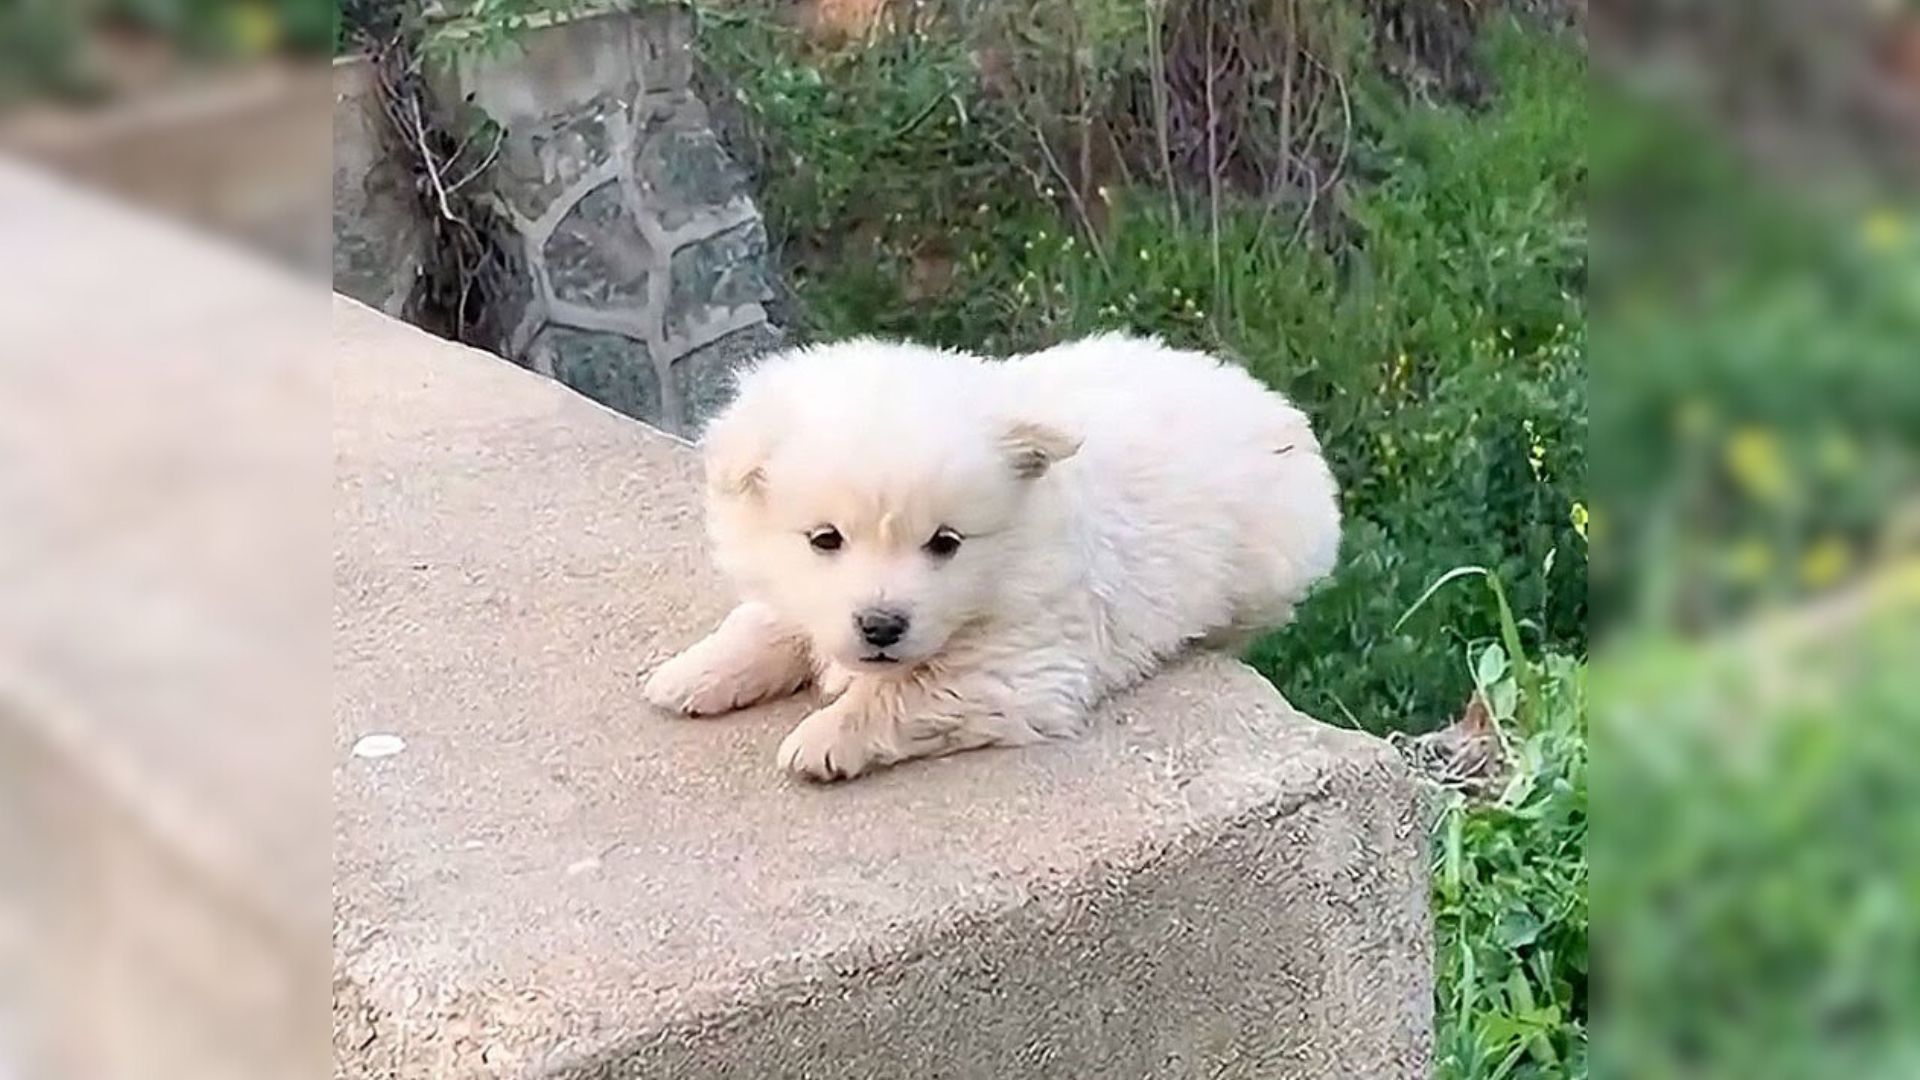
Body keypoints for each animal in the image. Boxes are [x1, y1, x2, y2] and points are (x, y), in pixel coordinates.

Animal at [645, 332, 1336, 776]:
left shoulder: (1017, 665)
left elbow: (906, 693)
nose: (881, 627)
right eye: (825, 539)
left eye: (945, 543)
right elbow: (767, 621)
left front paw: (823, 738)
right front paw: (691, 674)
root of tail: (1270, 404)